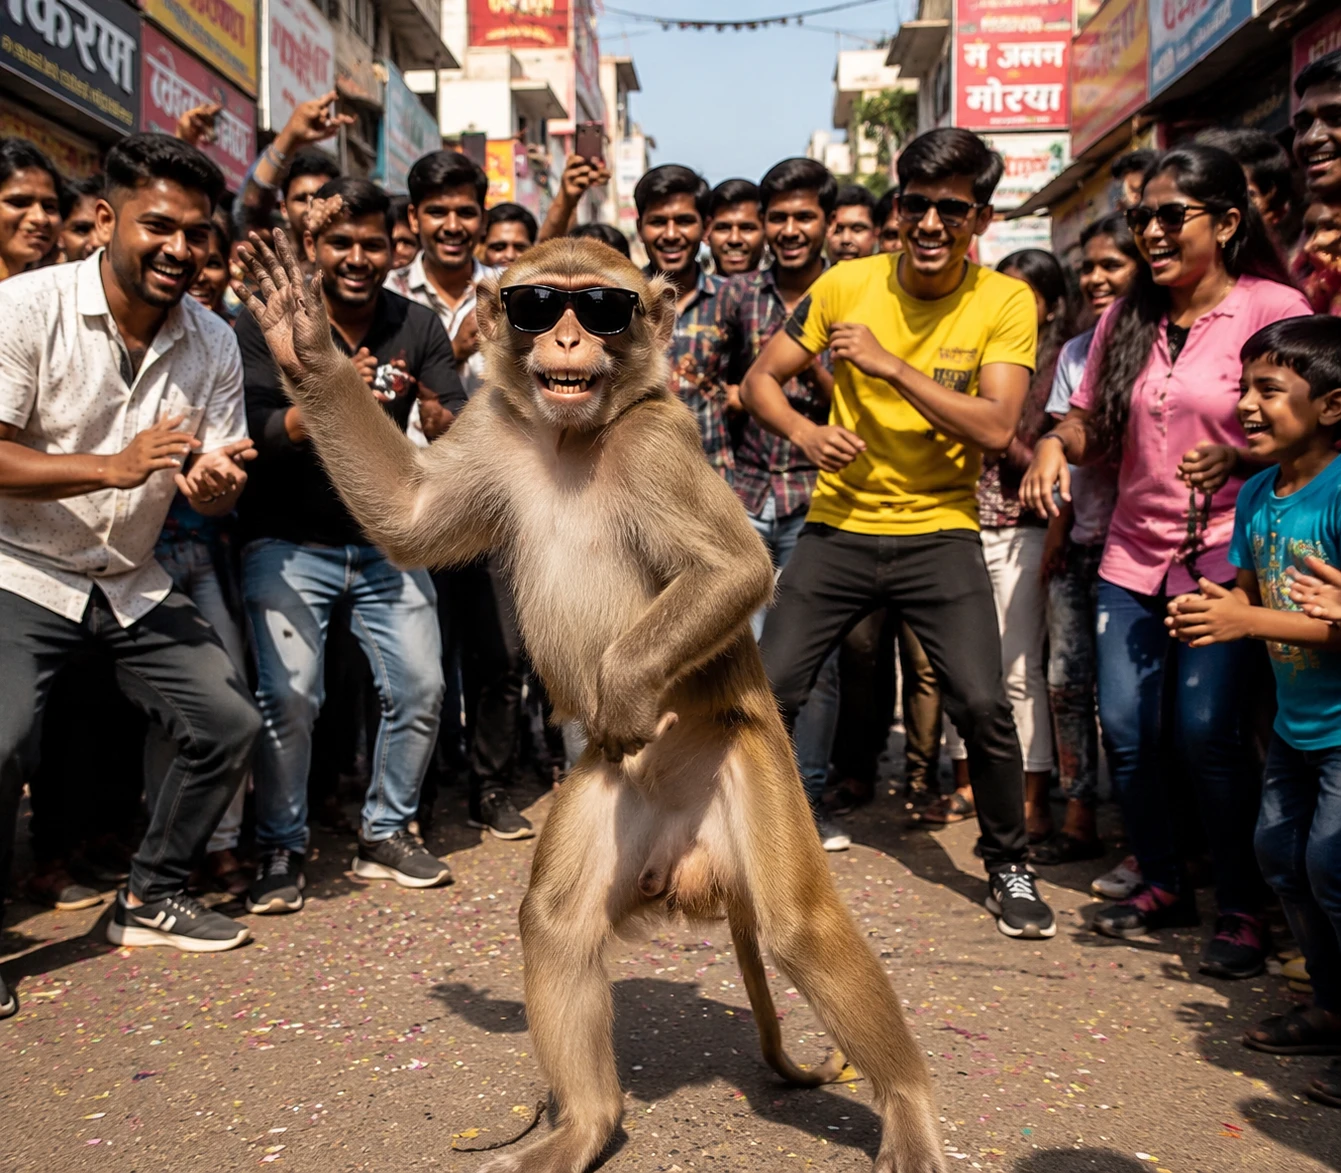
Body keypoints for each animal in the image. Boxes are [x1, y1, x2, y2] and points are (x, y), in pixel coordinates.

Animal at [234, 228, 945, 1173]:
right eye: (539, 303)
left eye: (601, 307)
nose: (568, 336)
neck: (578, 438)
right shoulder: (492, 429)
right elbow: (408, 519)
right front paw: (304, 341)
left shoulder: (656, 445)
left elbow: (733, 570)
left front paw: (625, 690)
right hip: (609, 790)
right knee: (557, 921)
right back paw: (585, 1123)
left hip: (749, 758)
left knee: (800, 927)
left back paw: (905, 1105)